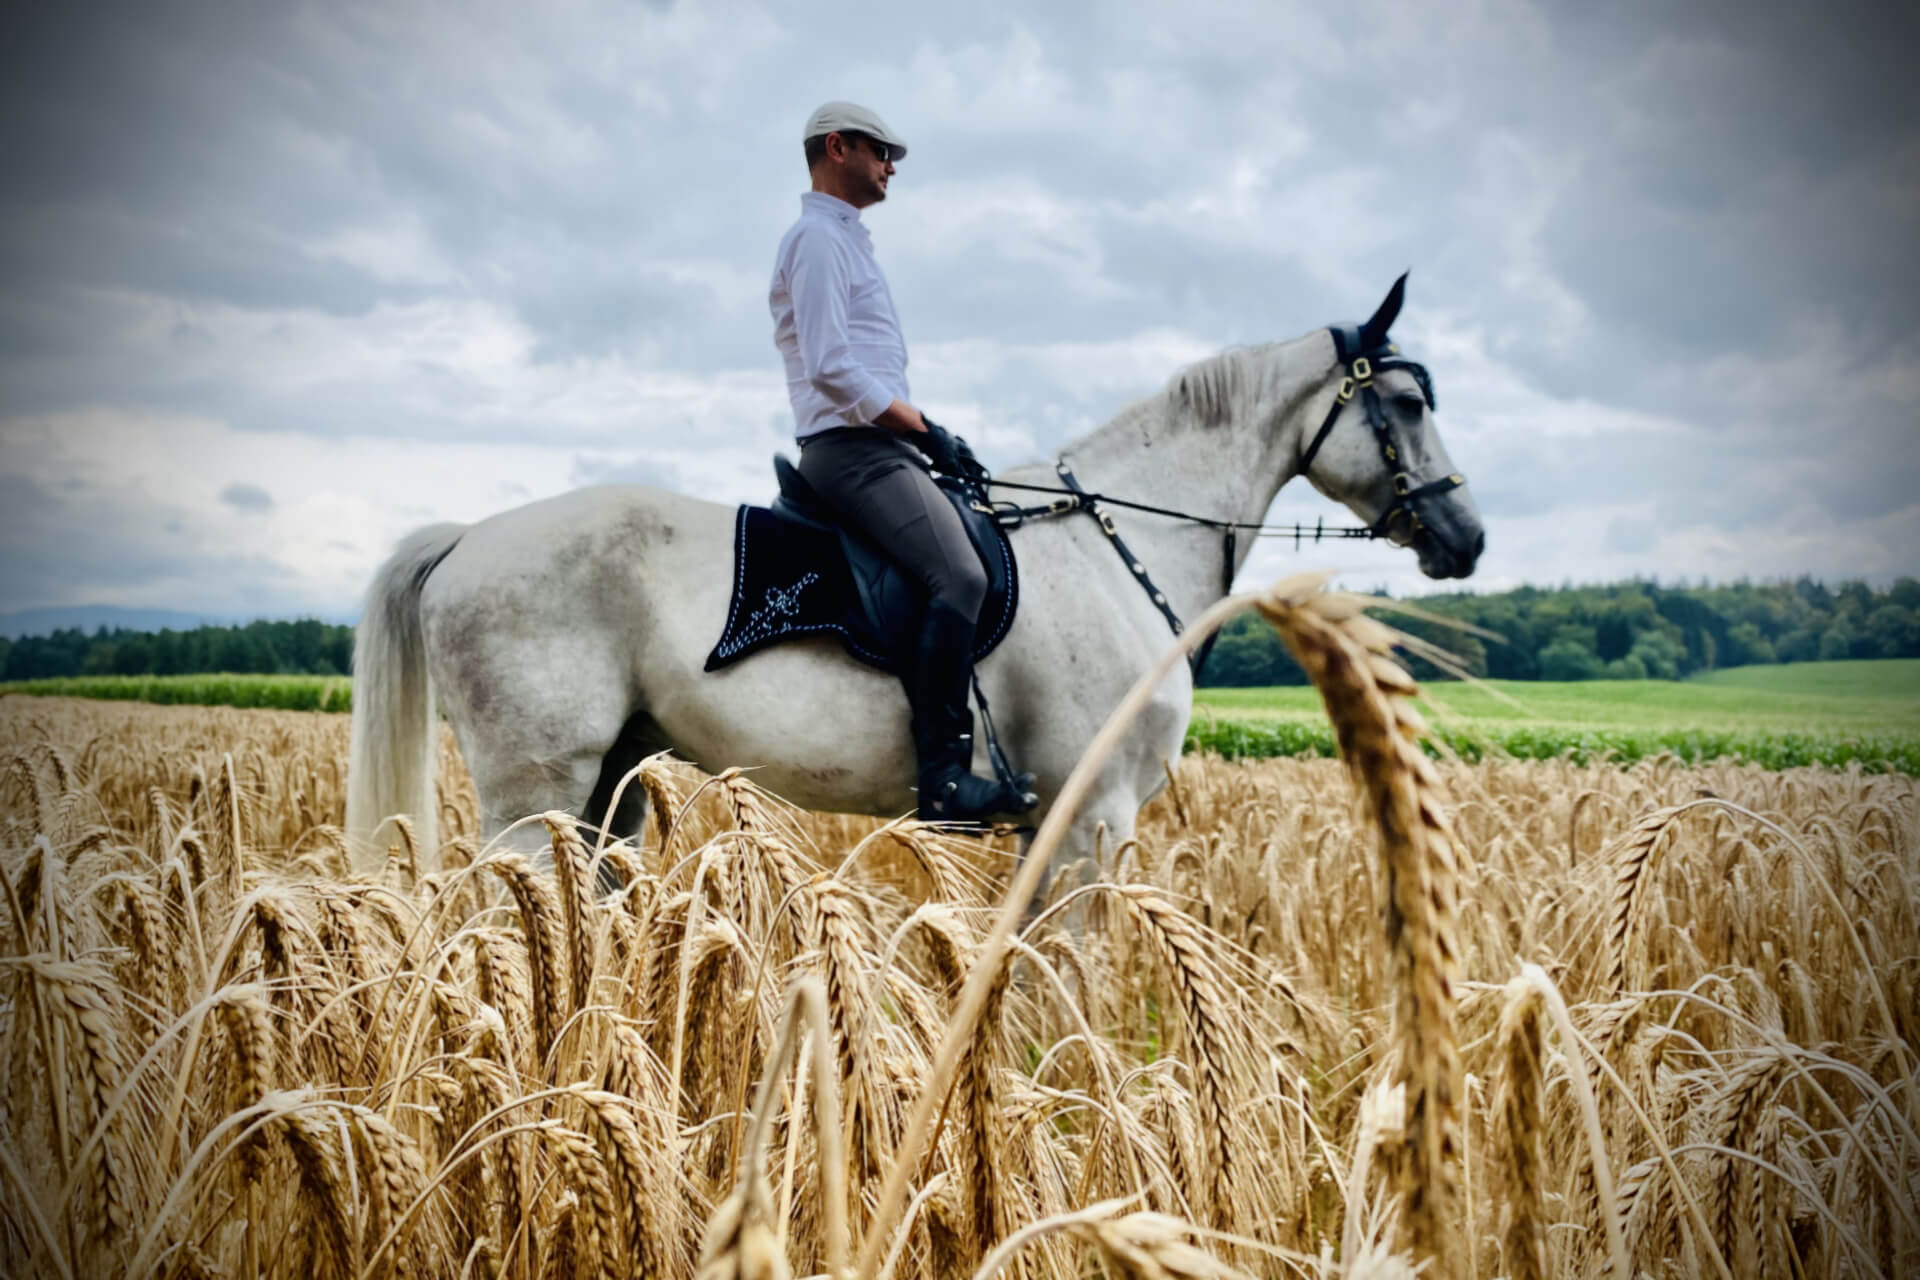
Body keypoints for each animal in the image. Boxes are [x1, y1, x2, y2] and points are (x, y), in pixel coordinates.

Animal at [344, 275, 1484, 877]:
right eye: (1409, 403)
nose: (1466, 537)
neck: (1118, 541)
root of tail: (469, 537)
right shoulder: (1091, 818)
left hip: (608, 788)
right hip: (533, 793)